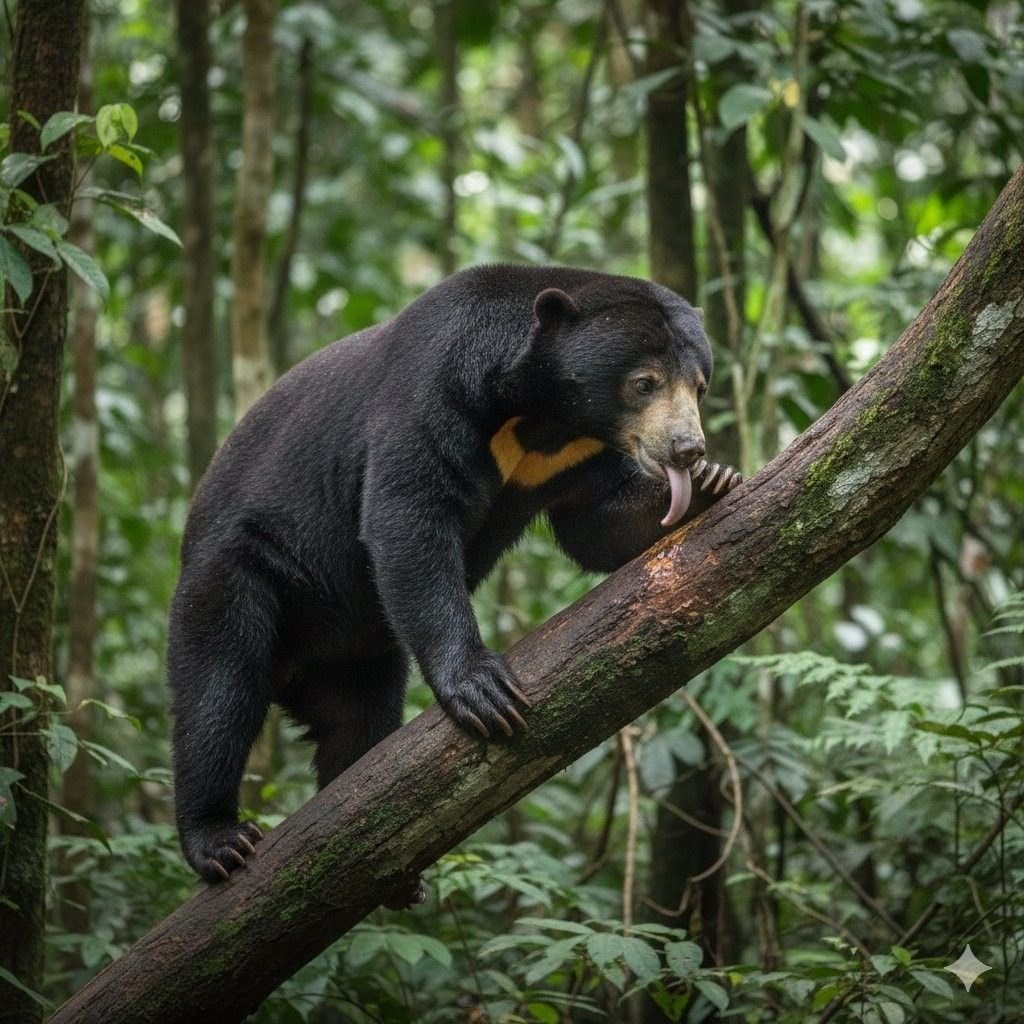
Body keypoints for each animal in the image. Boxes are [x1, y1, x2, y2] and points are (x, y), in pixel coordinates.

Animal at [167, 264, 742, 888]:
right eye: (644, 383)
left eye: (699, 387)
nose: (687, 449)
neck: (542, 414)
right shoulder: (434, 388)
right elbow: (408, 514)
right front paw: (482, 688)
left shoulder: (571, 453)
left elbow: (592, 524)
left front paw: (713, 483)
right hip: (242, 574)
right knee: (217, 694)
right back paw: (219, 839)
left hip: (355, 653)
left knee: (354, 719)